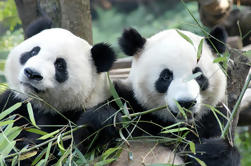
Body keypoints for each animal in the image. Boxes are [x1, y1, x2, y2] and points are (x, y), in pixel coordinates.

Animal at [0, 17, 116, 163]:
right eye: (34, 51)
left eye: (60, 65)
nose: (32, 73)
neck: (40, 106)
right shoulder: (15, 104)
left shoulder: (67, 119)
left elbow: (53, 150)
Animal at [108, 26, 241, 165]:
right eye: (166, 76)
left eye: (198, 75)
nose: (186, 103)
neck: (175, 126)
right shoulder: (130, 103)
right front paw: (110, 119)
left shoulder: (212, 117)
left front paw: (210, 152)